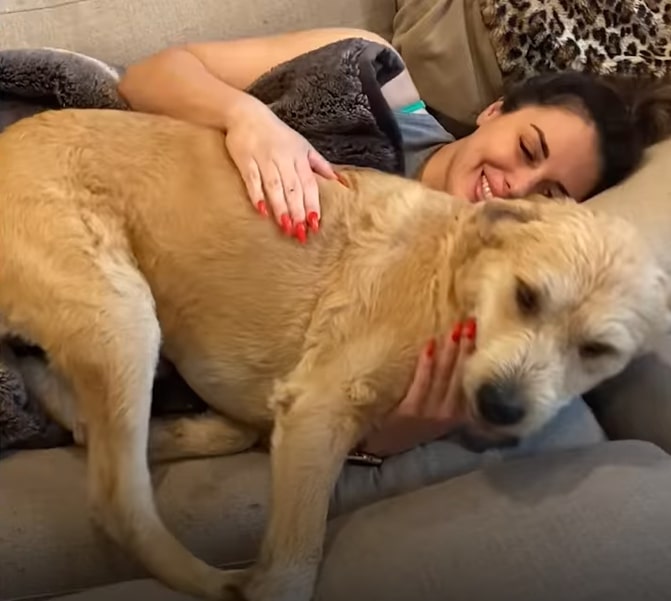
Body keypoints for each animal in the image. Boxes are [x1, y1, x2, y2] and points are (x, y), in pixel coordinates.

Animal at [0, 109, 668, 600]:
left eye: (597, 350)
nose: (502, 408)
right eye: (527, 296)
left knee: (101, 431)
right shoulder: (318, 410)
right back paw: (213, 580)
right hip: (122, 311)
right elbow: (293, 570)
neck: (454, 272)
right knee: (118, 501)